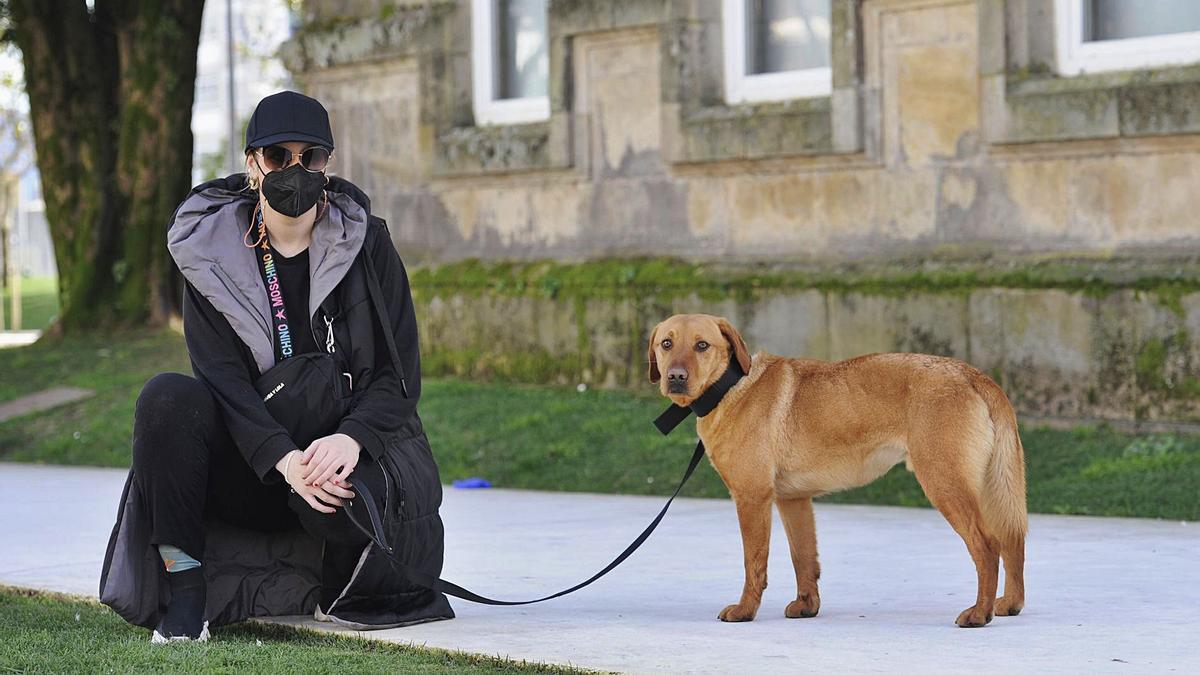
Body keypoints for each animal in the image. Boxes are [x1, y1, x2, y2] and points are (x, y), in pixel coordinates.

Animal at [652, 312, 1027, 624]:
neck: (729, 386)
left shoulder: (752, 498)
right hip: (993, 487)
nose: (676, 377)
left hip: (946, 483)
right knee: (1013, 540)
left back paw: (978, 613)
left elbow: (754, 562)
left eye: (702, 345)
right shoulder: (794, 501)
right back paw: (1009, 603)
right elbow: (803, 558)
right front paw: (807, 606)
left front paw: (746, 610)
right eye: (666, 343)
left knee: (987, 546)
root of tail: (972, 374)